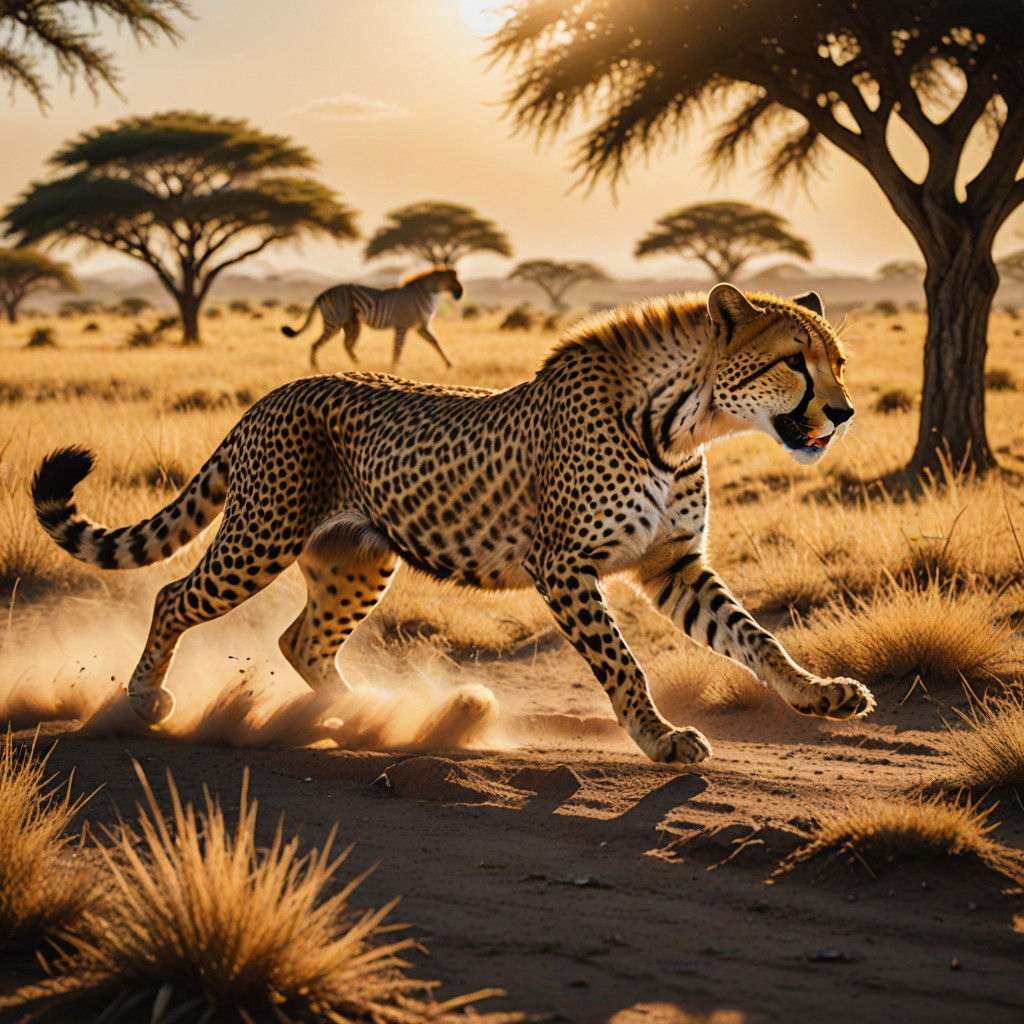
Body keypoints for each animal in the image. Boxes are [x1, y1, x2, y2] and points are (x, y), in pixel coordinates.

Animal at [31, 283, 874, 764]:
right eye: (793, 360)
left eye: (839, 362)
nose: (842, 413)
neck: (679, 423)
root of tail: (273, 393)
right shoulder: (563, 564)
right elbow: (622, 662)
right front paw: (659, 738)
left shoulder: (670, 565)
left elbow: (754, 636)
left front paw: (817, 694)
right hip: (260, 537)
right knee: (174, 596)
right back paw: (146, 701)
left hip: (357, 559)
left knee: (300, 640)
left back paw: (364, 715)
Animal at [280, 267, 463, 369]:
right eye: (453, 280)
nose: (461, 293)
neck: (424, 293)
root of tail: (322, 293)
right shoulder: (403, 325)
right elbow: (397, 349)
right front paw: (394, 369)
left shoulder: (422, 327)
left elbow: (436, 343)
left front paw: (449, 365)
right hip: (335, 323)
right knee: (317, 344)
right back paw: (316, 368)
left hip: (351, 324)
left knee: (346, 345)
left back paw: (359, 365)